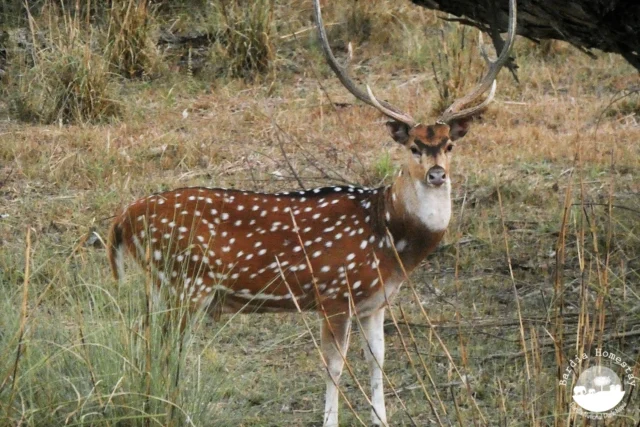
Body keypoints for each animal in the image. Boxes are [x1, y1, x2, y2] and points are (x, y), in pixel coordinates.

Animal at [106, 0, 516, 425]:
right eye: (414, 147)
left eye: (449, 144)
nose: (437, 174)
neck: (390, 237)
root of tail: (122, 221)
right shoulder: (334, 292)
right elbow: (334, 366)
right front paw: (330, 419)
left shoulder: (375, 303)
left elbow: (378, 362)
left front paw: (381, 418)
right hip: (184, 281)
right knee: (163, 346)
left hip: (164, 285)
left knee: (147, 340)